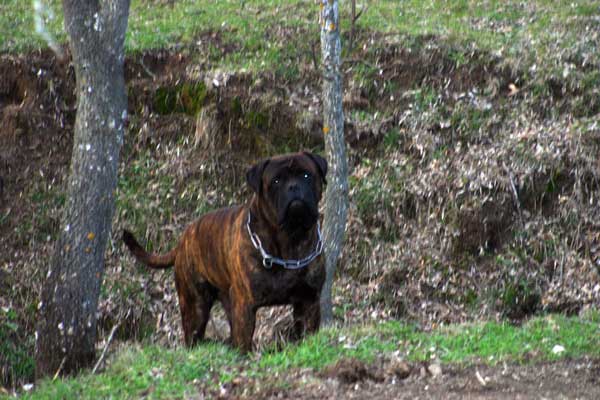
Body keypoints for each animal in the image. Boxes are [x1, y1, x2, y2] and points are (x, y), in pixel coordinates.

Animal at [123, 152, 328, 352]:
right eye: (276, 180)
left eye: (306, 175)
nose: (294, 187)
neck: (290, 240)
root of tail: (183, 240)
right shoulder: (245, 306)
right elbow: (243, 341)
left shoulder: (309, 301)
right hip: (195, 307)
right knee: (194, 336)